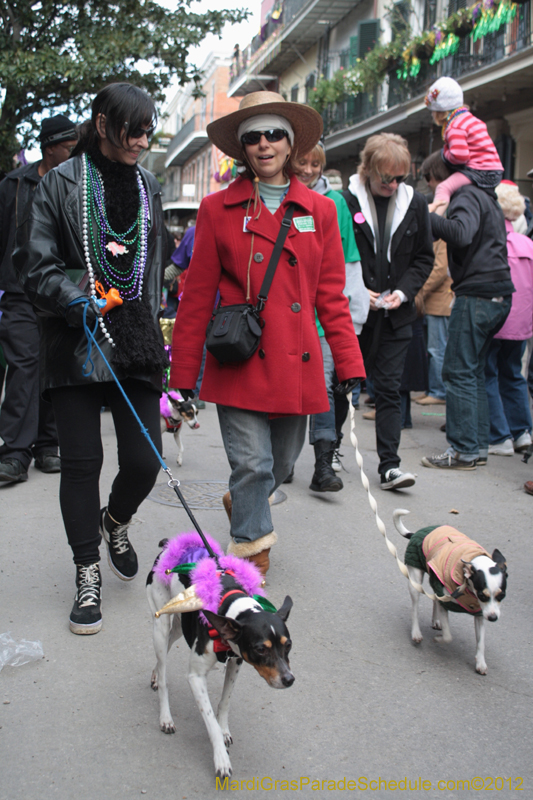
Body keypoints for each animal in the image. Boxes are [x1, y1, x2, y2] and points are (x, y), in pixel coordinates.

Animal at [148, 536, 294, 780]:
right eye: (260, 649)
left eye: (288, 645)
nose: (289, 679)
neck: (230, 603)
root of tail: (171, 545)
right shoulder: (196, 677)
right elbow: (210, 722)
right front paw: (221, 759)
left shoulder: (236, 661)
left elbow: (224, 702)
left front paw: (224, 730)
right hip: (161, 623)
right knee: (163, 668)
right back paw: (165, 715)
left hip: (177, 626)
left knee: (163, 656)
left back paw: (156, 676)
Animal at [394, 510, 508, 672]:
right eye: (482, 595)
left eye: (502, 595)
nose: (493, 618)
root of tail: (416, 533)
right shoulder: (446, 603)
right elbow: (448, 636)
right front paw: (439, 639)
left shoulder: (480, 614)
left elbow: (481, 642)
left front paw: (480, 662)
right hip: (415, 582)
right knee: (415, 609)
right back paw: (416, 632)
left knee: (435, 599)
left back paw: (435, 620)